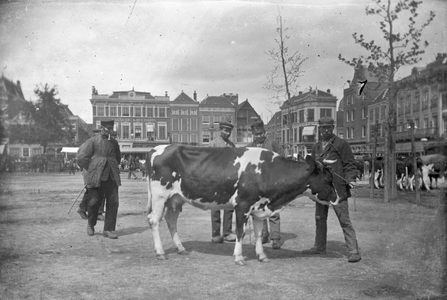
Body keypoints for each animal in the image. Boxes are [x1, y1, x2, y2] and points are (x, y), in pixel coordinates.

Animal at [145, 145, 338, 264]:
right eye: (327, 178)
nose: (338, 197)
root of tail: (158, 148)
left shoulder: (259, 207)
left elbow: (259, 233)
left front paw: (262, 255)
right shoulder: (242, 205)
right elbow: (240, 232)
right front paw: (239, 257)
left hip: (175, 199)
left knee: (171, 220)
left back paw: (181, 248)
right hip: (160, 195)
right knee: (154, 220)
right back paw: (160, 252)